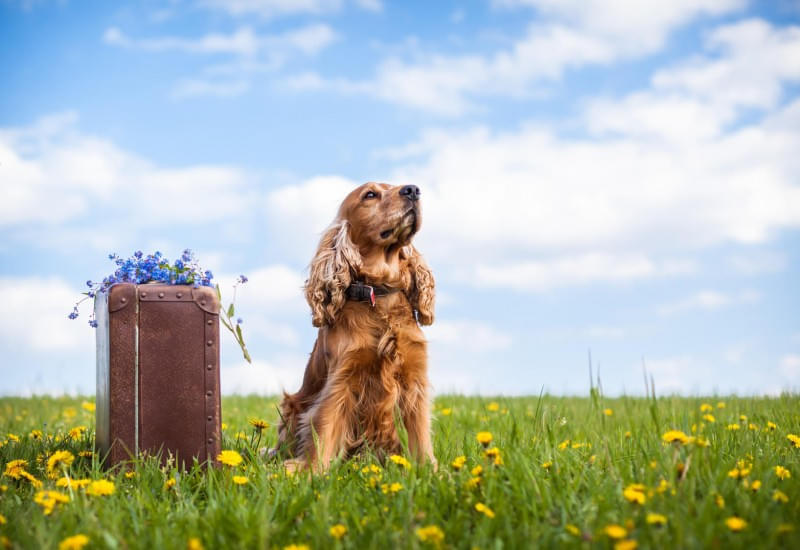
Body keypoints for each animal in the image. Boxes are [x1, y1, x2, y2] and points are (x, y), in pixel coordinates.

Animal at [276, 183, 438, 472]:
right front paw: (310, 473)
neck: (380, 293)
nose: (413, 190)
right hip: (292, 406)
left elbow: (420, 435)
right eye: (370, 195)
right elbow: (325, 428)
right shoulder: (341, 380)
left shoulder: (414, 380)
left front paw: (431, 473)